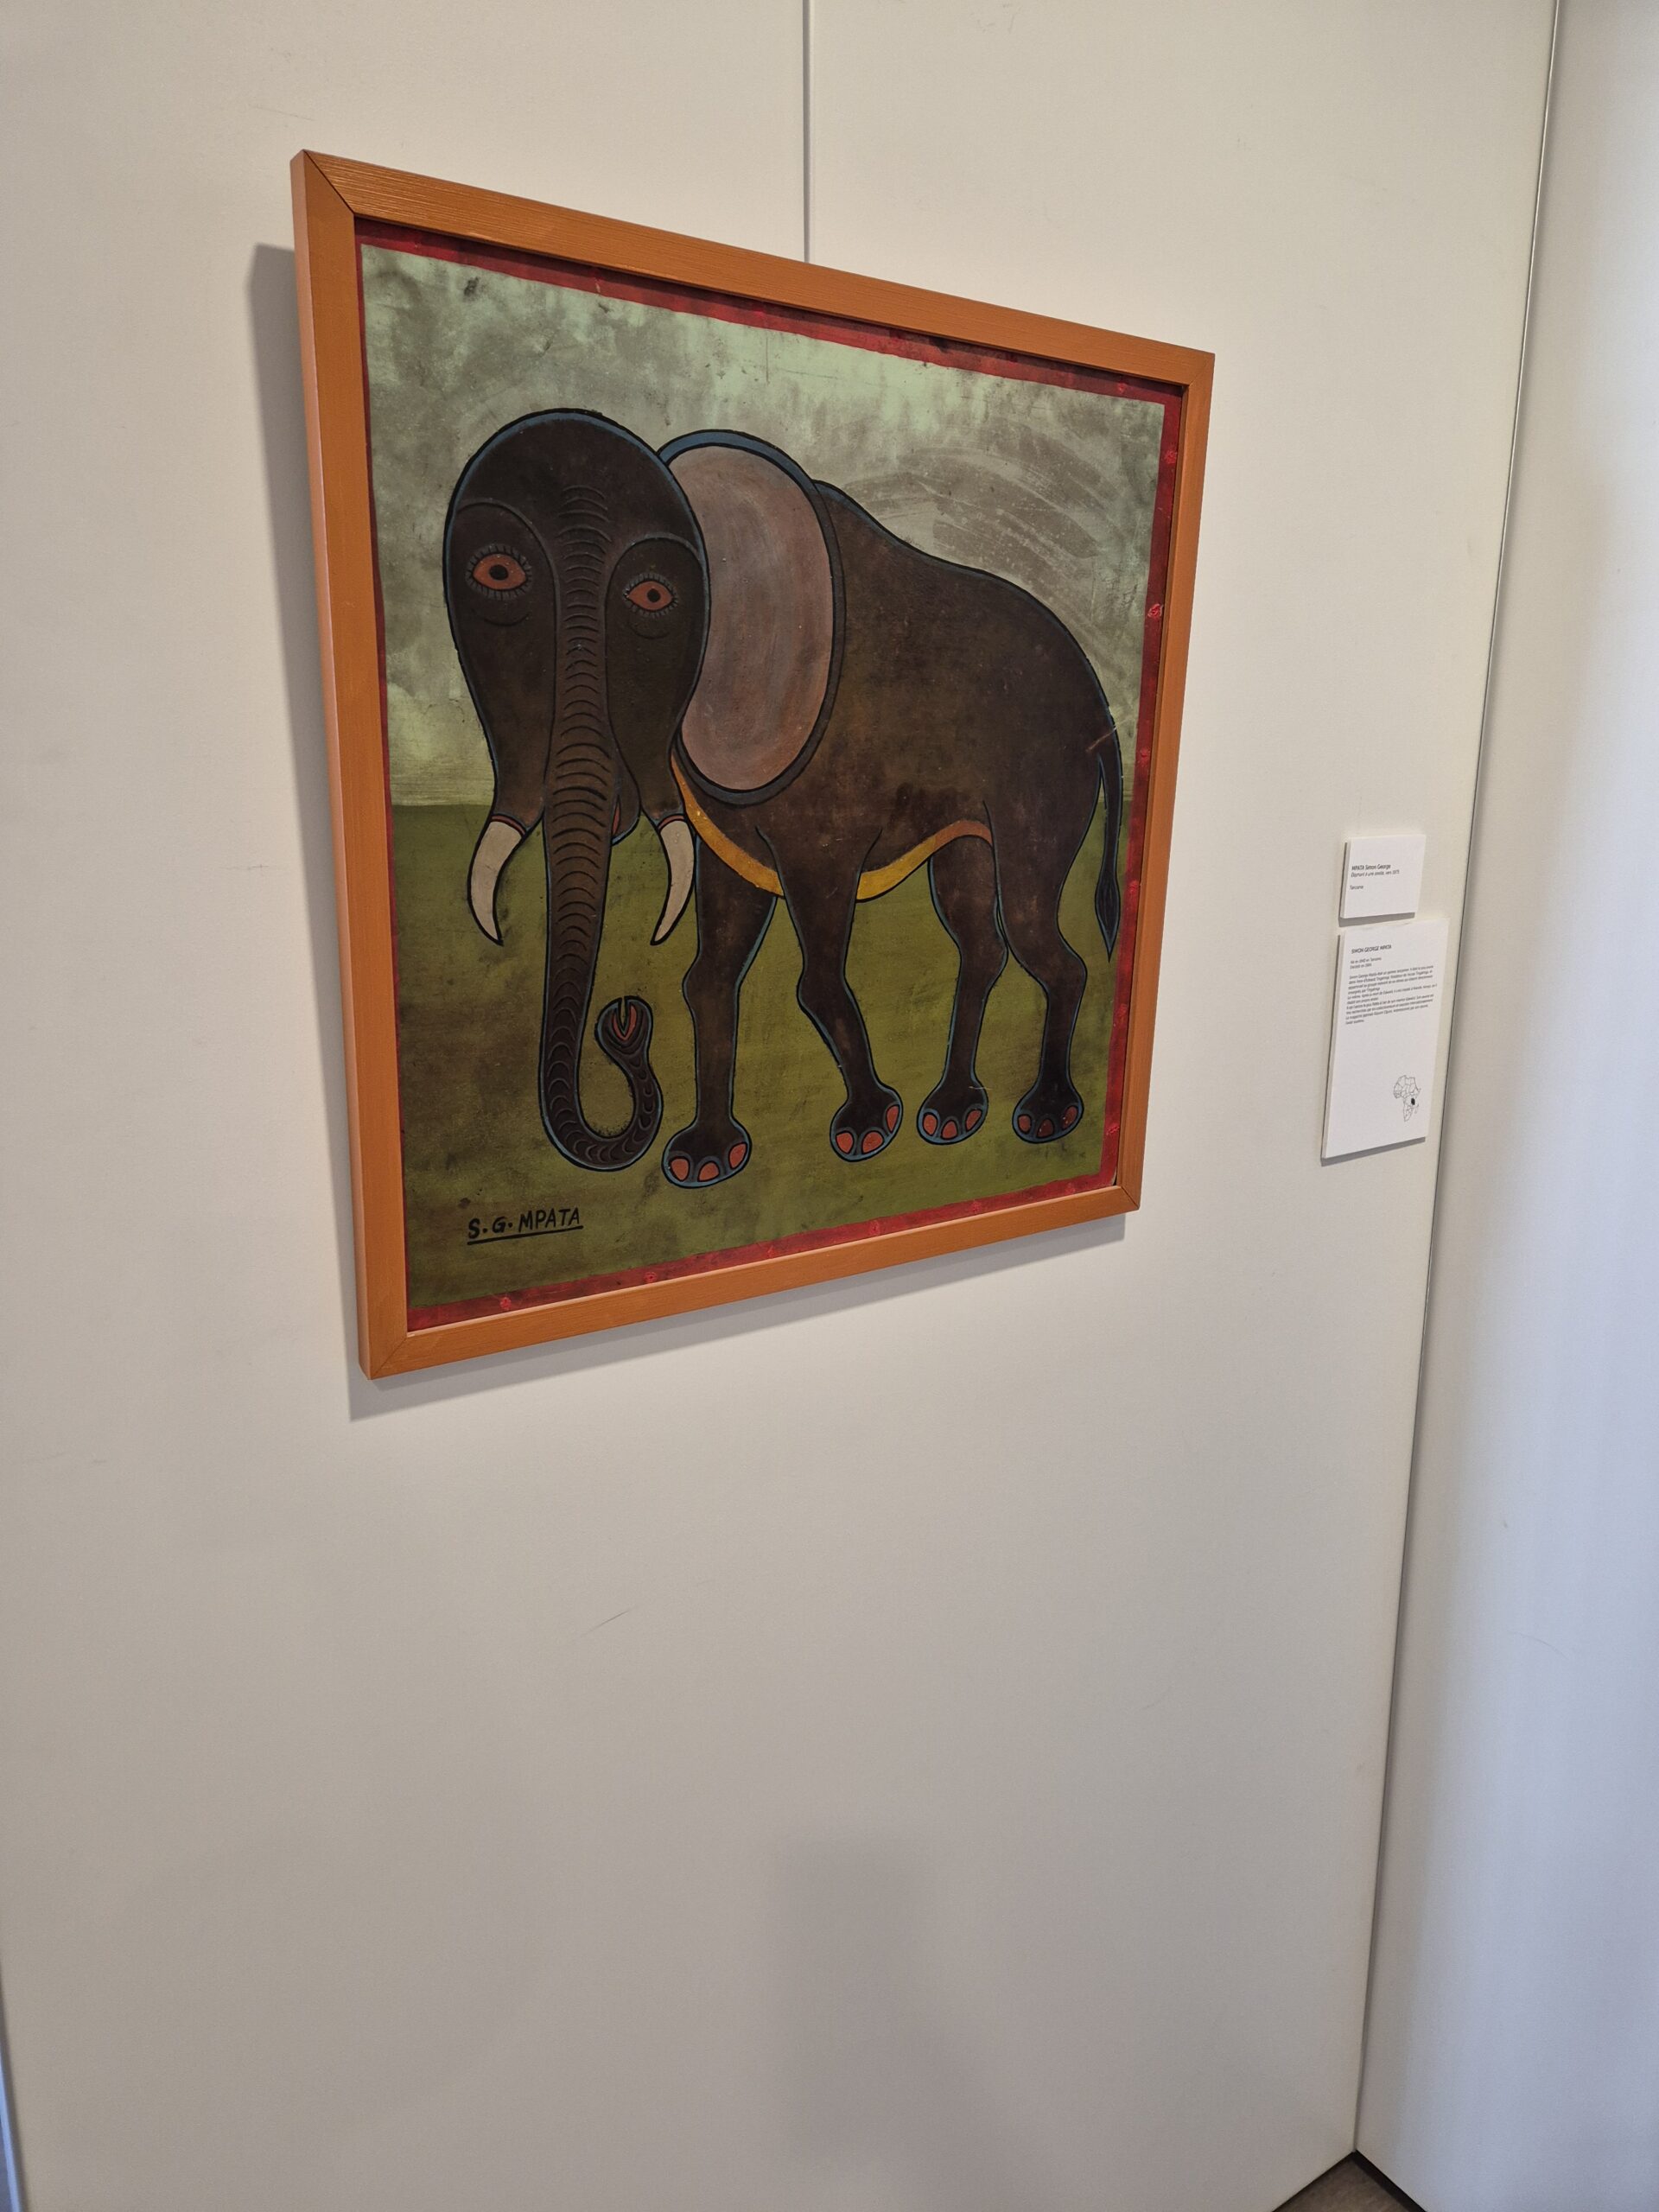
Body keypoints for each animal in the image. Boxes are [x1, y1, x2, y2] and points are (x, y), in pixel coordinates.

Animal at [443, 409, 1123, 1185]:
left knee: (1041, 935)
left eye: (653, 598)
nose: (623, 1019)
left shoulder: (821, 802)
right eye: (497, 574)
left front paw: (867, 1133)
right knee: (978, 932)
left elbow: (815, 966)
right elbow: (710, 968)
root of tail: (1104, 714)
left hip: (1047, 784)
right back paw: (952, 1117)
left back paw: (1042, 1118)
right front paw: (705, 1164)